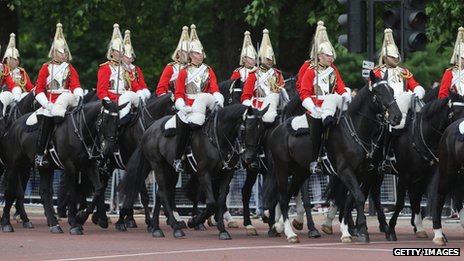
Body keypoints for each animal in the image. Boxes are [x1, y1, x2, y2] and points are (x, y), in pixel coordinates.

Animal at [0, 99, 120, 234]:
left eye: (118, 122)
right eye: (106, 120)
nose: (110, 147)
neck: (80, 130)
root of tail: (13, 126)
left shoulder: (89, 165)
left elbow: (99, 189)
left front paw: (81, 218)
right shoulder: (70, 167)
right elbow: (72, 194)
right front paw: (74, 224)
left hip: (40, 168)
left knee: (44, 193)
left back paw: (53, 224)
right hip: (13, 166)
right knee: (10, 192)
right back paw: (6, 223)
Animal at [118, 103, 250, 238]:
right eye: (247, 127)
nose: (247, 157)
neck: (217, 138)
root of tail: (149, 129)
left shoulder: (227, 174)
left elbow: (220, 200)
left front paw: (222, 230)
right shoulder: (204, 173)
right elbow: (211, 203)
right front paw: (194, 221)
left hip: (169, 169)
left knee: (160, 194)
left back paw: (156, 227)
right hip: (157, 165)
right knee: (163, 194)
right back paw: (174, 228)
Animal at [268, 71, 402, 242]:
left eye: (391, 90)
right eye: (378, 93)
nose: (397, 116)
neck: (354, 130)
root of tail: (278, 128)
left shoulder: (361, 173)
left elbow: (350, 199)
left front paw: (347, 231)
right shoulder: (345, 171)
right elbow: (358, 197)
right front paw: (362, 231)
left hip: (300, 171)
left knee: (290, 193)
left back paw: (282, 226)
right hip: (282, 168)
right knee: (284, 198)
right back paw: (290, 233)